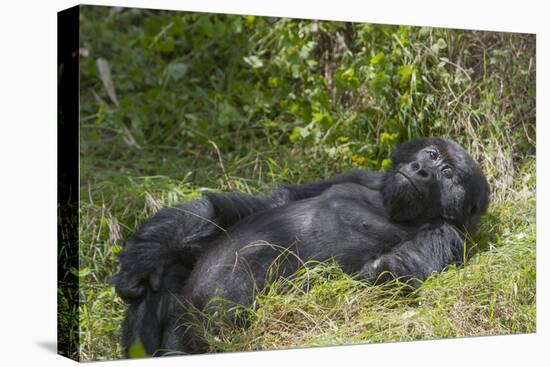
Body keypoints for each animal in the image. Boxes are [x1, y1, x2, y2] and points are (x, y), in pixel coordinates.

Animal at [113, 137, 492, 356]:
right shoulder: (354, 176)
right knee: (165, 278)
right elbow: (264, 203)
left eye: (448, 174)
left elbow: (393, 275)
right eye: (430, 155)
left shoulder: (447, 233)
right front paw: (150, 249)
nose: (423, 169)